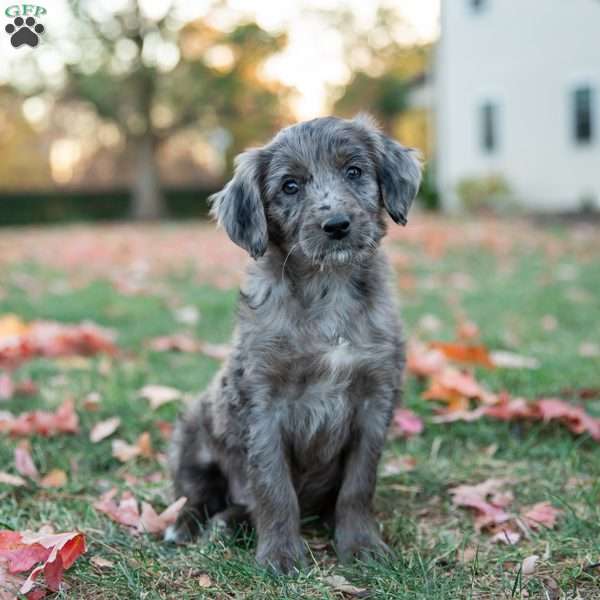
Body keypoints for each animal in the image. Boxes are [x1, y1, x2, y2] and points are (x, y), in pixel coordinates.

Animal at [165, 113, 422, 572]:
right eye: (289, 185)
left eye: (353, 171)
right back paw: (191, 525)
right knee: (197, 493)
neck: (327, 287)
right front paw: (281, 556)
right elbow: (273, 487)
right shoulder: (263, 405)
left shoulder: (375, 401)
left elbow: (358, 485)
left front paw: (362, 546)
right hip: (192, 431)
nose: (337, 226)